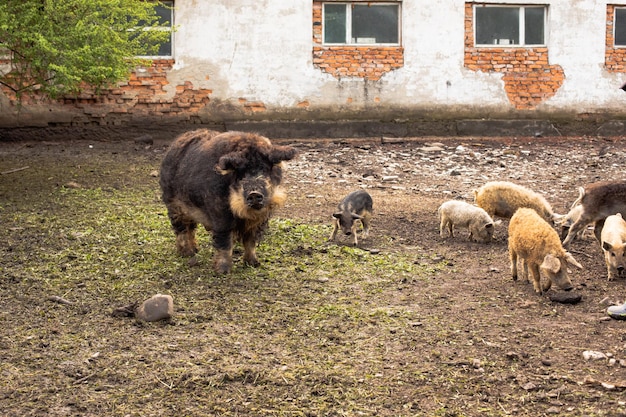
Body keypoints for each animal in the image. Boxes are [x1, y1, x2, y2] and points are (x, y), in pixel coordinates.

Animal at [161, 130, 298, 272]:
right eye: (240, 174)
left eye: (265, 170)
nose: (254, 193)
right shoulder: (220, 214)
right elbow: (225, 242)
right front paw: (222, 271)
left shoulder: (260, 220)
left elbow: (251, 241)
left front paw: (254, 264)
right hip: (172, 203)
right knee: (180, 228)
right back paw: (186, 253)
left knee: (191, 228)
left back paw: (195, 250)